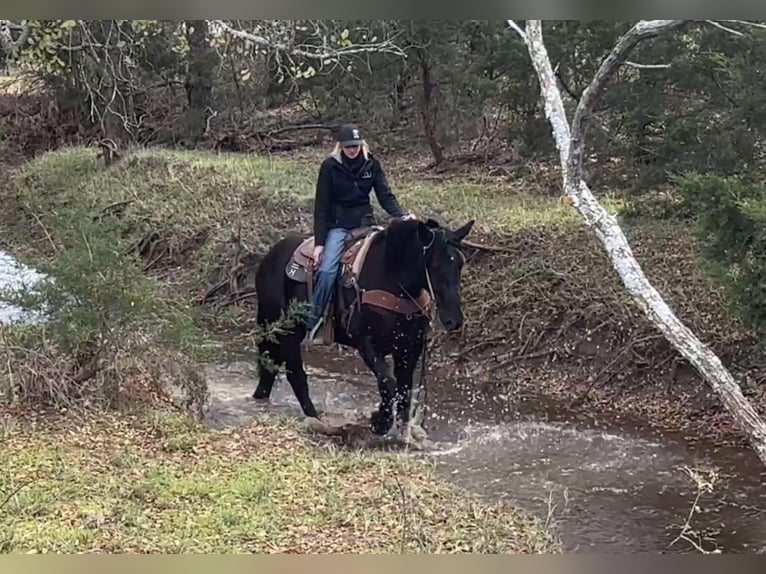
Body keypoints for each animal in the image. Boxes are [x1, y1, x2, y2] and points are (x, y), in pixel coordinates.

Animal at [252, 218, 474, 438]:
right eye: (435, 265)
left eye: (460, 263)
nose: (454, 320)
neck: (391, 280)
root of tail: (269, 258)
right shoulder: (366, 343)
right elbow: (388, 381)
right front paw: (380, 422)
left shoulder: (408, 348)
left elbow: (404, 390)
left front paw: (403, 432)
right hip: (286, 330)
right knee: (296, 375)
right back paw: (317, 420)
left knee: (270, 368)